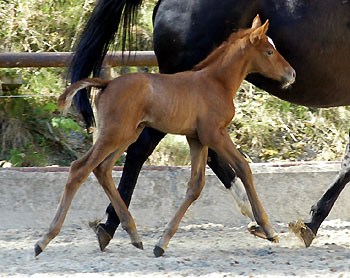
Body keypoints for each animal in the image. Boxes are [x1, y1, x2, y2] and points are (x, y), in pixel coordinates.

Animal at [34, 16, 296, 258]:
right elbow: (243, 167)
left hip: (127, 134)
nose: (292, 74)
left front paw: (162, 243)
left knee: (103, 169)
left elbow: (195, 186)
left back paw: (133, 235)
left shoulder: (197, 138)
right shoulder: (214, 134)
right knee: (80, 169)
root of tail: (106, 83)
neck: (216, 82)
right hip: (115, 134)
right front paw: (268, 229)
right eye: (269, 51)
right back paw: (44, 240)